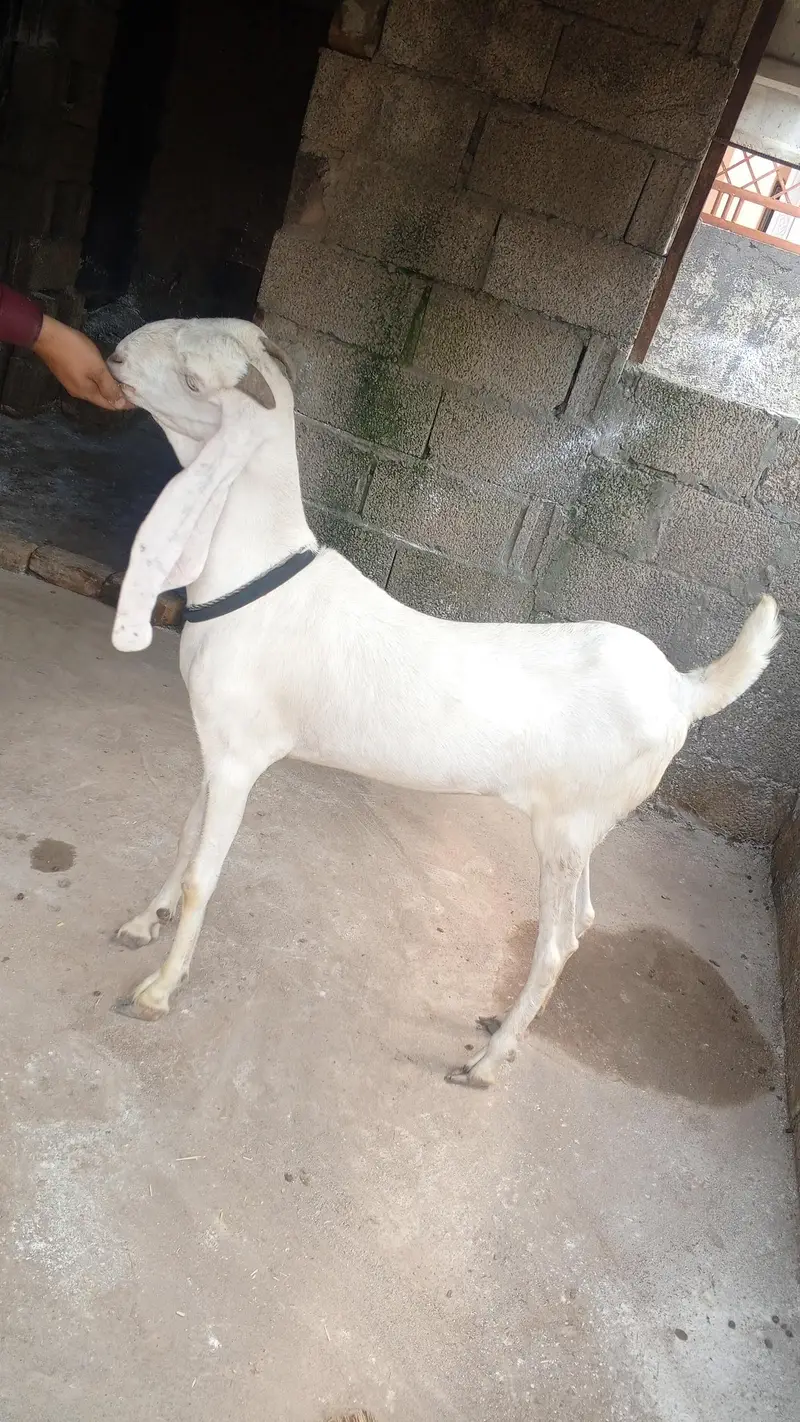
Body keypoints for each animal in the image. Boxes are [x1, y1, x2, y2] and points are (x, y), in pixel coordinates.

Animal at [107, 317, 779, 1088]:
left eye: (194, 382)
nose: (115, 355)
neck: (259, 579)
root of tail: (684, 689)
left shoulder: (242, 758)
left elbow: (204, 874)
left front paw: (158, 990)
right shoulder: (216, 746)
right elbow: (186, 838)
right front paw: (142, 922)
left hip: (565, 829)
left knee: (557, 941)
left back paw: (487, 1062)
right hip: (585, 830)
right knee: (582, 918)